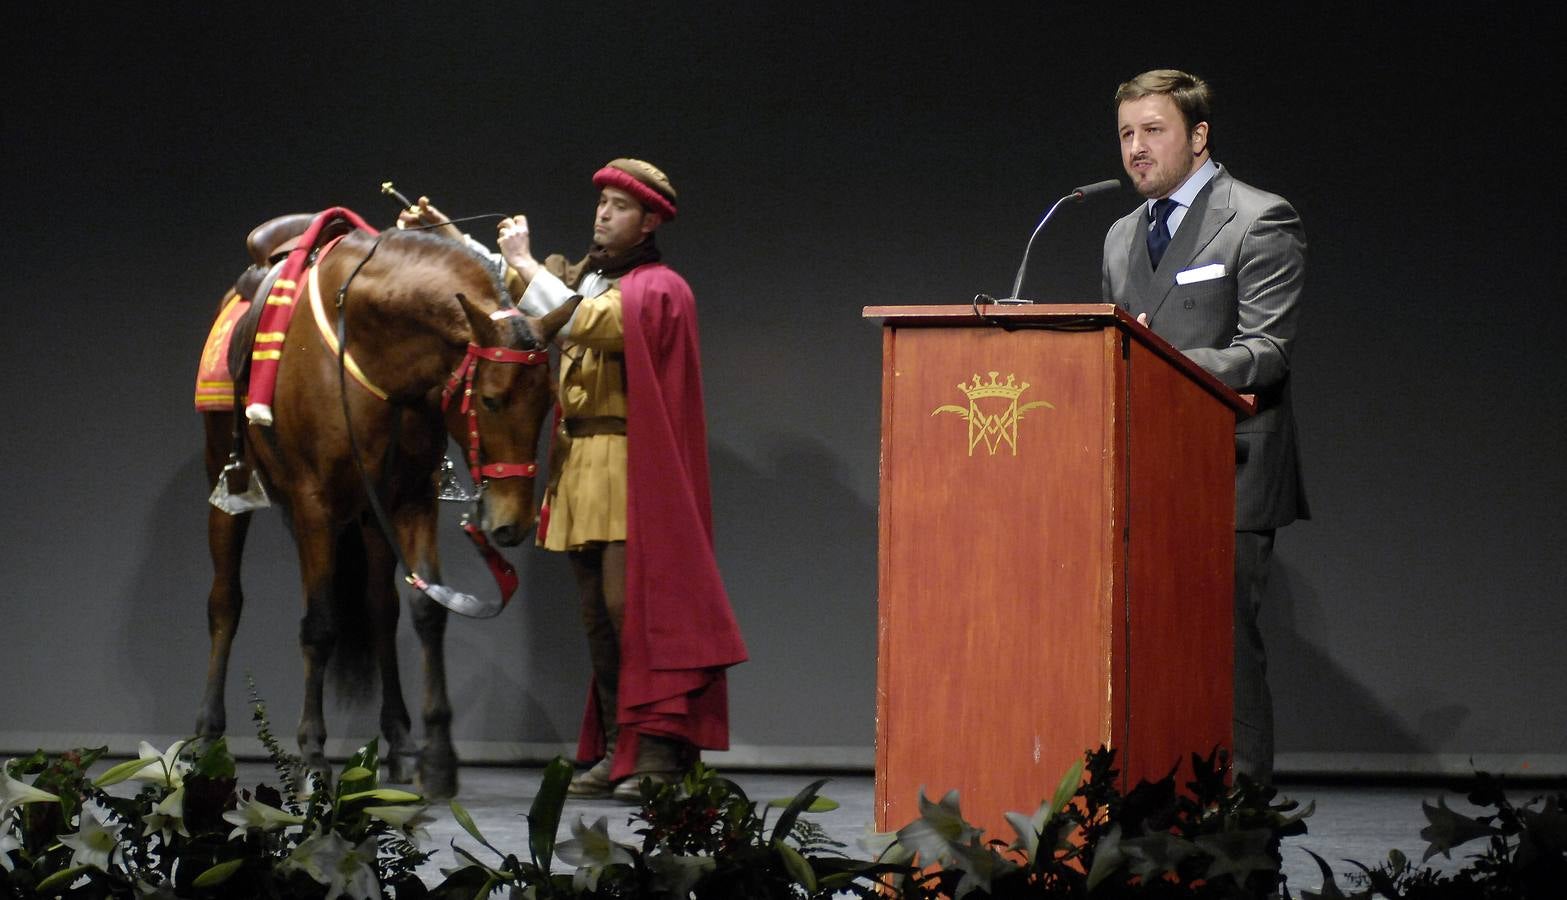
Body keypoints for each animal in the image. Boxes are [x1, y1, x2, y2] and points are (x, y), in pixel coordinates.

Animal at [194, 224, 576, 796]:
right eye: (490, 399)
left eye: (549, 400)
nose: (512, 523)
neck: (373, 348)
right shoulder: (314, 506)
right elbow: (320, 624)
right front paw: (312, 757)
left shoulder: (410, 500)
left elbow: (427, 610)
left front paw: (438, 755)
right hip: (229, 485)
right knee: (225, 603)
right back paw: (207, 738)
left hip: (372, 518)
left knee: (380, 609)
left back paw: (398, 741)